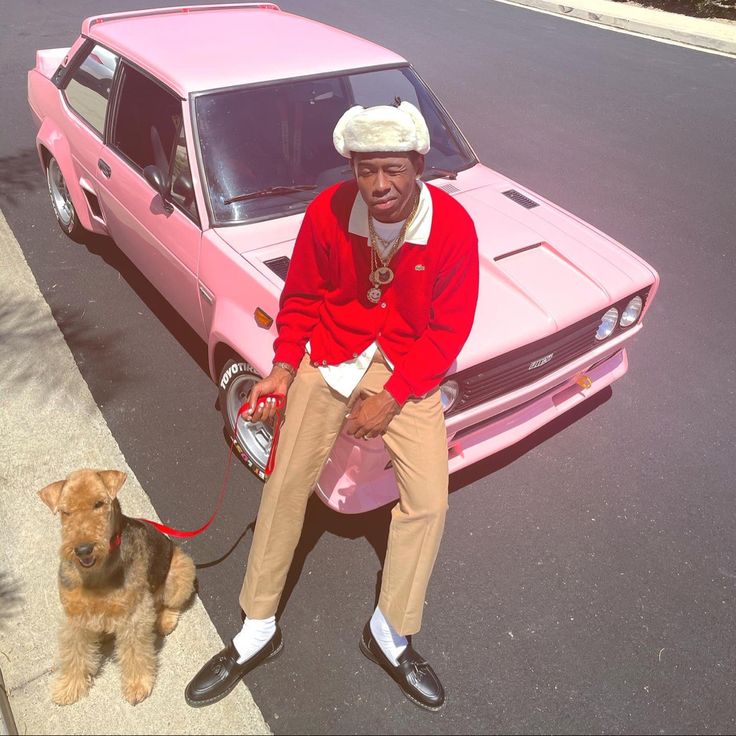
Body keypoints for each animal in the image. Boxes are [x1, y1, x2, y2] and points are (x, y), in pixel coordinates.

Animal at [40, 468, 196, 704]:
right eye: (66, 512)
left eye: (99, 503)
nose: (83, 549)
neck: (96, 573)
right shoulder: (75, 616)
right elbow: (74, 654)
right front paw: (69, 687)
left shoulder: (134, 615)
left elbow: (136, 654)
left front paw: (137, 685)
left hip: (180, 571)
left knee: (172, 603)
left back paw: (165, 621)